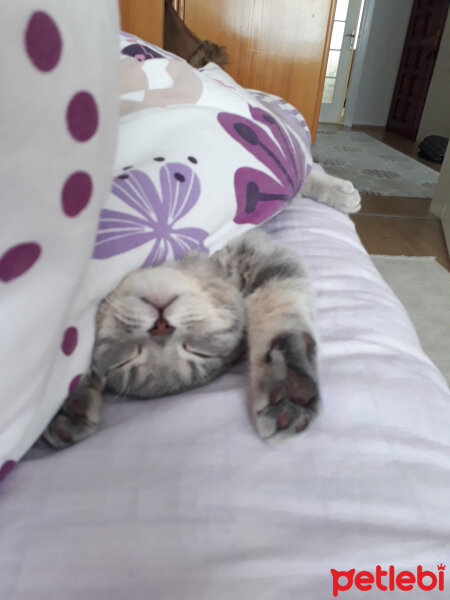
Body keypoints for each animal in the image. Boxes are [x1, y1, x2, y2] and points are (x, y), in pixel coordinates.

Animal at [44, 171, 360, 448]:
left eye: (197, 350)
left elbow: (284, 311)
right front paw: (68, 406)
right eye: (128, 357)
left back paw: (340, 190)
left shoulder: (262, 254)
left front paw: (292, 384)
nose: (161, 327)